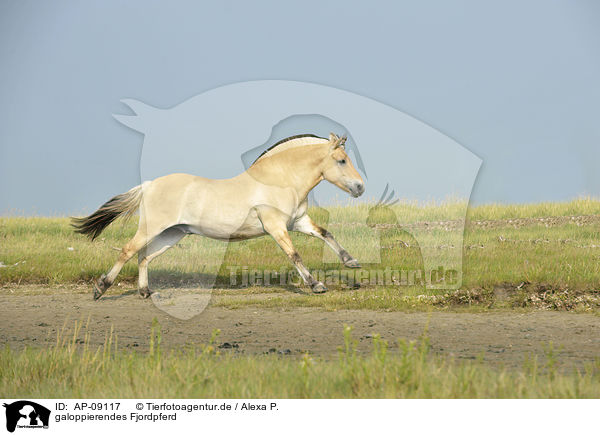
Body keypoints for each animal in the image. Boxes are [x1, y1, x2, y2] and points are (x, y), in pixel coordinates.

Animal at [75, 135, 366, 302]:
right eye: (342, 160)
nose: (360, 187)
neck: (281, 179)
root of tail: (148, 185)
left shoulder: (297, 222)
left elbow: (325, 233)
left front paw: (351, 262)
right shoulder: (276, 227)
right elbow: (294, 255)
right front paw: (316, 285)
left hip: (172, 234)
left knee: (144, 257)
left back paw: (146, 292)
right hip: (152, 228)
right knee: (128, 251)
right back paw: (100, 289)